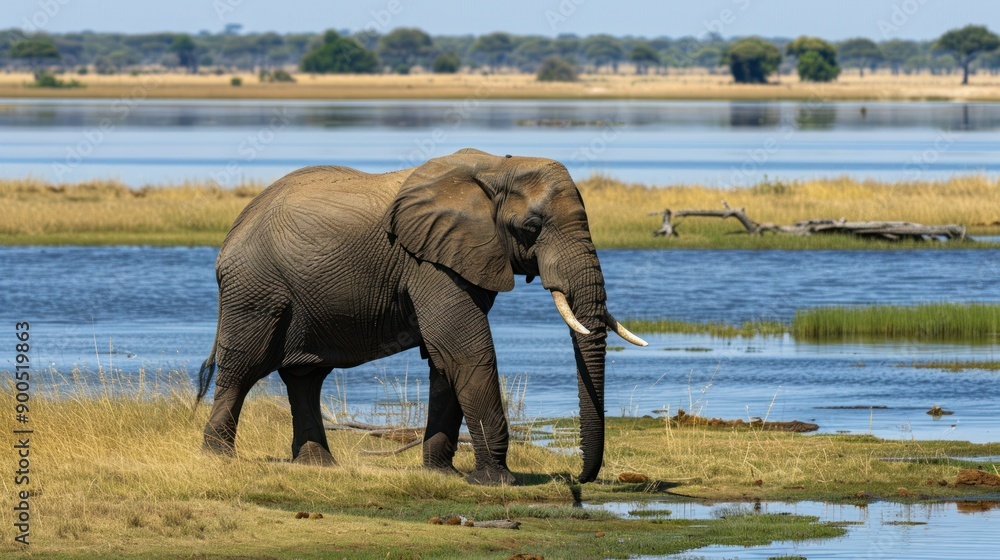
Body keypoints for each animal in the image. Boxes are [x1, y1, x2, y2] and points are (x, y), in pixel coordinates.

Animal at [195, 148, 646, 485]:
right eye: (532, 227)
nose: (579, 478)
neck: (498, 167)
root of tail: (231, 234)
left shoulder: (459, 258)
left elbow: (444, 360)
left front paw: (442, 474)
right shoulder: (429, 262)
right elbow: (465, 351)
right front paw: (497, 481)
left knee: (305, 377)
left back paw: (318, 467)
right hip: (255, 290)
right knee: (242, 370)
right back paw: (218, 460)